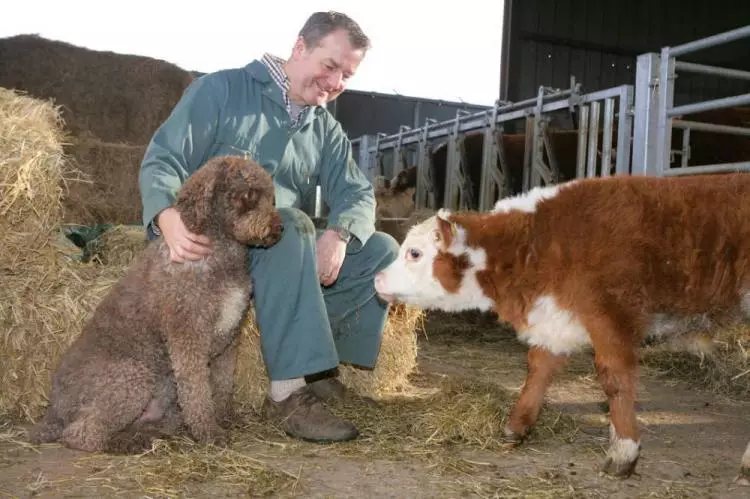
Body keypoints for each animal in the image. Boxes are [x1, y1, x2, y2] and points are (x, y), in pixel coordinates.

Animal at [27, 155, 284, 454]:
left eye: (272, 197)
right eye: (249, 195)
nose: (279, 228)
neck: (219, 253)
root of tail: (53, 410)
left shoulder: (229, 337)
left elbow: (222, 384)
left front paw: (225, 417)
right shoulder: (189, 337)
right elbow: (197, 392)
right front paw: (208, 432)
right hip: (131, 378)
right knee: (81, 433)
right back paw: (119, 443)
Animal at [376, 173, 750, 484]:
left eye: (414, 253)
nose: (377, 278)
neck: (541, 241)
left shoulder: (609, 318)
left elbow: (614, 380)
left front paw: (623, 452)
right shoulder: (555, 320)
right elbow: (538, 370)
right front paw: (516, 426)